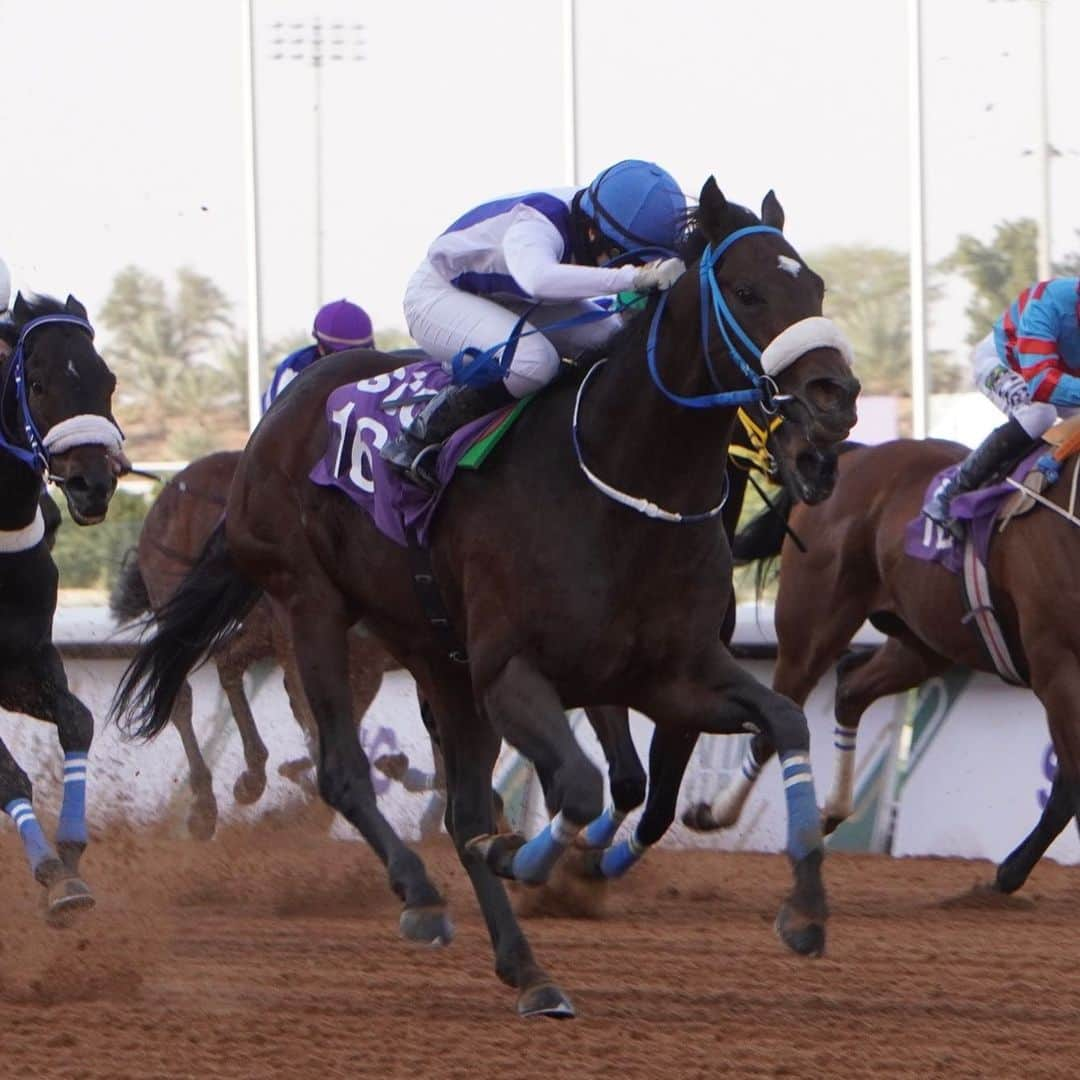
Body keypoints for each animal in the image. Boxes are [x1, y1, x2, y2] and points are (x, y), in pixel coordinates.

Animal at [113, 181, 855, 1015]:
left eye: (815, 286)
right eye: (748, 291)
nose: (835, 402)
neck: (622, 485)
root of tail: (274, 419)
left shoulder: (672, 675)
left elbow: (778, 725)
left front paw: (804, 908)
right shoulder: (513, 674)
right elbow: (581, 785)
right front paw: (528, 858)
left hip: (434, 654)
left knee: (456, 804)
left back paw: (528, 970)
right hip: (312, 607)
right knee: (339, 765)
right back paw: (418, 893)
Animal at [682, 434, 1080, 898]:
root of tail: (858, 454)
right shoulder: (1057, 668)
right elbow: (1069, 786)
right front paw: (1007, 874)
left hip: (923, 643)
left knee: (850, 689)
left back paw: (831, 810)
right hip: (812, 630)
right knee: (776, 721)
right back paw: (714, 812)